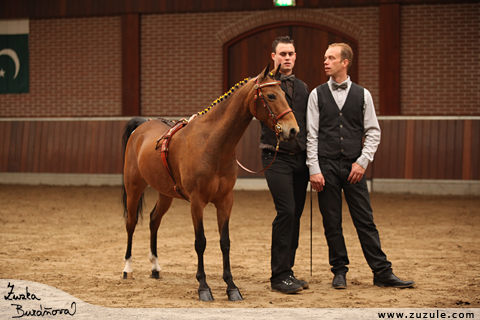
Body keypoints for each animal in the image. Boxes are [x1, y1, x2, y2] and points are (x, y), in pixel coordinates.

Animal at [120, 63, 298, 302]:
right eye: (271, 95)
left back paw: (155, 268)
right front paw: (203, 287)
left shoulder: (225, 201)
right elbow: (200, 242)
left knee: (153, 220)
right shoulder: (197, 203)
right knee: (131, 223)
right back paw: (127, 269)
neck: (212, 145)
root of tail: (141, 127)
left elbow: (225, 242)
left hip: (165, 193)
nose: (293, 130)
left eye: (284, 95)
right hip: (134, 187)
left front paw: (231, 287)